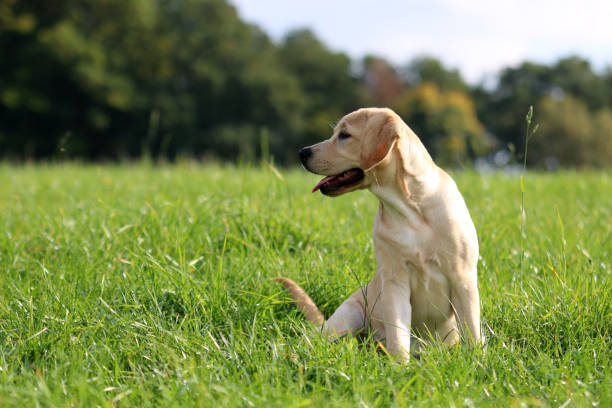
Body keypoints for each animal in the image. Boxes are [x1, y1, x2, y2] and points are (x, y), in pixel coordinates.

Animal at [274, 107, 482, 360]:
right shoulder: (395, 280)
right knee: (318, 340)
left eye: (344, 135)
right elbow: (398, 333)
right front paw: (401, 365)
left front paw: (477, 360)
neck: (410, 208)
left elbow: (472, 330)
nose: (302, 153)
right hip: (348, 314)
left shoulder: (462, 276)